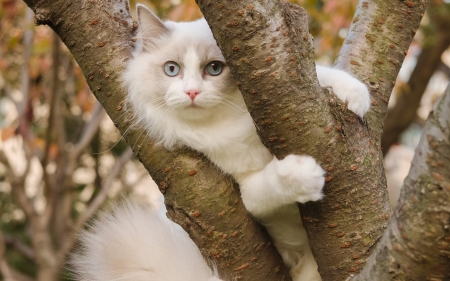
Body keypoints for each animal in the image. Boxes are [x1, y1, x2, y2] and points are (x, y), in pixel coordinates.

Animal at [72, 4, 370, 280]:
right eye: (172, 70)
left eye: (214, 69)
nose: (192, 92)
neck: (227, 122)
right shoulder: (246, 189)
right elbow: (267, 187)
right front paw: (304, 175)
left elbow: (320, 76)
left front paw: (356, 95)